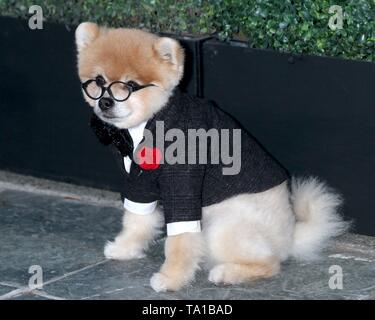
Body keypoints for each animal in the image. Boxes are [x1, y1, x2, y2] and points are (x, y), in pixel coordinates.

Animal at [74, 21, 350, 292]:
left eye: (130, 86)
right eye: (98, 81)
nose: (106, 101)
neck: (148, 123)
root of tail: (290, 237)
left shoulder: (183, 185)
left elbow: (180, 240)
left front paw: (171, 279)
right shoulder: (140, 181)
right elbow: (136, 220)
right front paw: (125, 248)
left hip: (222, 227)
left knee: (270, 263)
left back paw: (227, 273)